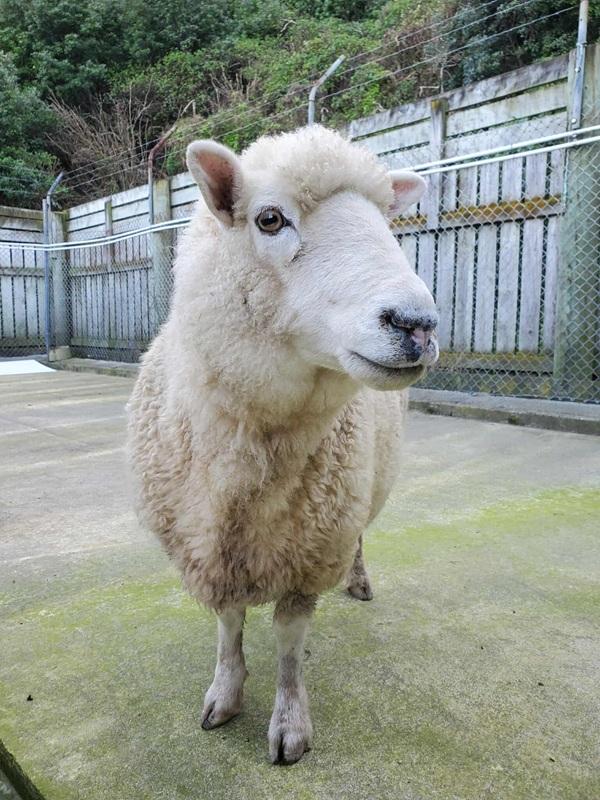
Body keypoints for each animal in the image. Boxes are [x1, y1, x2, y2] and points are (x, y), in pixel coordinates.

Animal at [127, 124, 438, 765]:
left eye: (385, 220)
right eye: (269, 219)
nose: (418, 324)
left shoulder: (311, 547)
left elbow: (290, 646)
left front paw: (290, 725)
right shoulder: (212, 545)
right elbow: (229, 626)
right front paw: (224, 695)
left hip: (352, 500)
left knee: (360, 535)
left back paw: (359, 581)